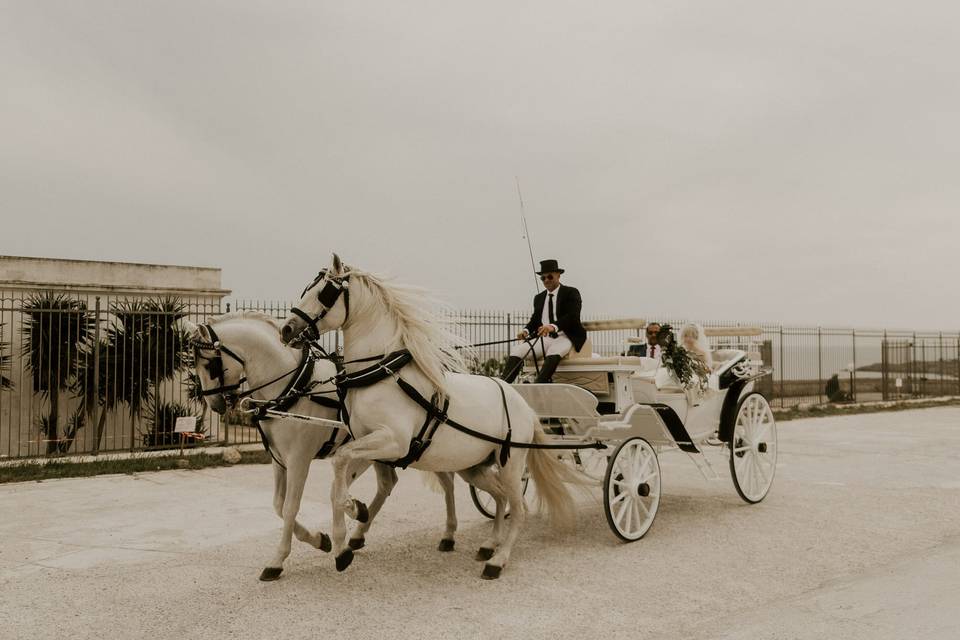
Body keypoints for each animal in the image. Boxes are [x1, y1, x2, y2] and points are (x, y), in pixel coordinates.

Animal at [187, 312, 462, 584]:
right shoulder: (279, 460)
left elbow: (290, 507)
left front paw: (277, 560)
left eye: (209, 365)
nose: (215, 404)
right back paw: (359, 525)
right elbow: (278, 505)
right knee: (387, 483)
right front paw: (321, 539)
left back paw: (448, 533)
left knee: (447, 482)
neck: (293, 387)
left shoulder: (299, 459)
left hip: (425, 448)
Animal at [278, 255, 576, 580]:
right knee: (499, 497)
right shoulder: (368, 442)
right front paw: (349, 526)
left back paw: (498, 559)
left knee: (518, 508)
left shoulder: (393, 442)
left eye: (325, 293)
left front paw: (352, 513)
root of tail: (523, 403)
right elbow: (339, 476)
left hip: (511, 464)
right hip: (473, 466)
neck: (383, 373)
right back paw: (489, 544)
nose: (287, 329)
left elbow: (341, 465)